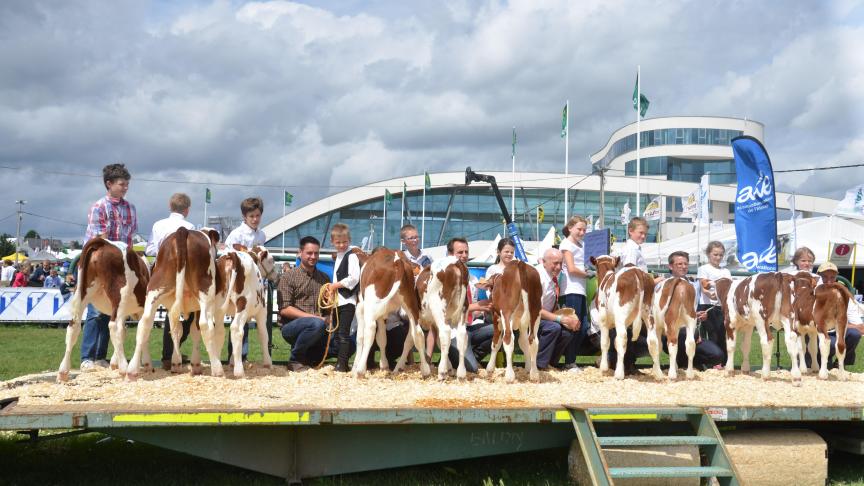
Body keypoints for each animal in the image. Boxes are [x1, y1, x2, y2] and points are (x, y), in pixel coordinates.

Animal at [57, 237, 150, 382]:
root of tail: (103, 242)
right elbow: (143, 332)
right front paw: (145, 363)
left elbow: (125, 332)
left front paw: (114, 362)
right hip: (121, 296)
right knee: (114, 326)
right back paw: (124, 369)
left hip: (81, 294)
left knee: (73, 327)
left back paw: (63, 372)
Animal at [125, 227, 221, 380]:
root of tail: (183, 230)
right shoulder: (198, 308)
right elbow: (194, 332)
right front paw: (195, 365)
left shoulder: (170, 306)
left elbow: (176, 330)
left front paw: (176, 363)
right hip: (206, 293)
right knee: (205, 325)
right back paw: (218, 369)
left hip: (155, 289)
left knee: (144, 324)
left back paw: (133, 370)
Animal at [211, 245, 276, 378]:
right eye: (271, 260)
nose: (276, 275)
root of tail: (232, 255)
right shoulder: (261, 311)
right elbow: (263, 334)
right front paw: (268, 363)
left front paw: (232, 361)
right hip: (243, 303)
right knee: (236, 329)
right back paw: (239, 371)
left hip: (220, 305)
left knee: (220, 331)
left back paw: (218, 367)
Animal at [352, 249, 426, 378]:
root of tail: (397, 260)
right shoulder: (382, 315)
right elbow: (382, 338)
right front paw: (384, 365)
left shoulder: (360, 307)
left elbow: (360, 337)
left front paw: (355, 367)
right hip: (410, 302)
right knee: (417, 333)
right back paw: (425, 370)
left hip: (372, 304)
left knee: (370, 331)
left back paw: (360, 370)